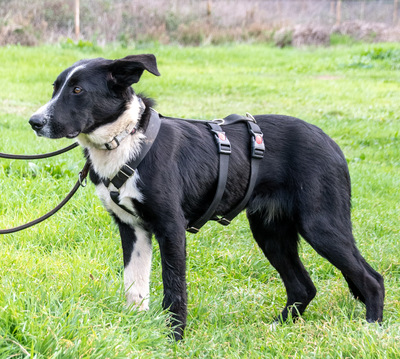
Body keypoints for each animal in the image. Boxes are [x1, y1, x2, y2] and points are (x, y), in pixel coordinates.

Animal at [28, 53, 384, 340]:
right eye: (55, 88)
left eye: (78, 91)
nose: (34, 122)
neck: (127, 142)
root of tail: (331, 142)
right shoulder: (132, 229)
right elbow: (135, 286)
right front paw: (135, 334)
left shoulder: (171, 229)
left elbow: (174, 290)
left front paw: (174, 338)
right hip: (271, 232)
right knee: (303, 286)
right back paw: (280, 325)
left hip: (320, 224)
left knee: (371, 278)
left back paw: (372, 328)